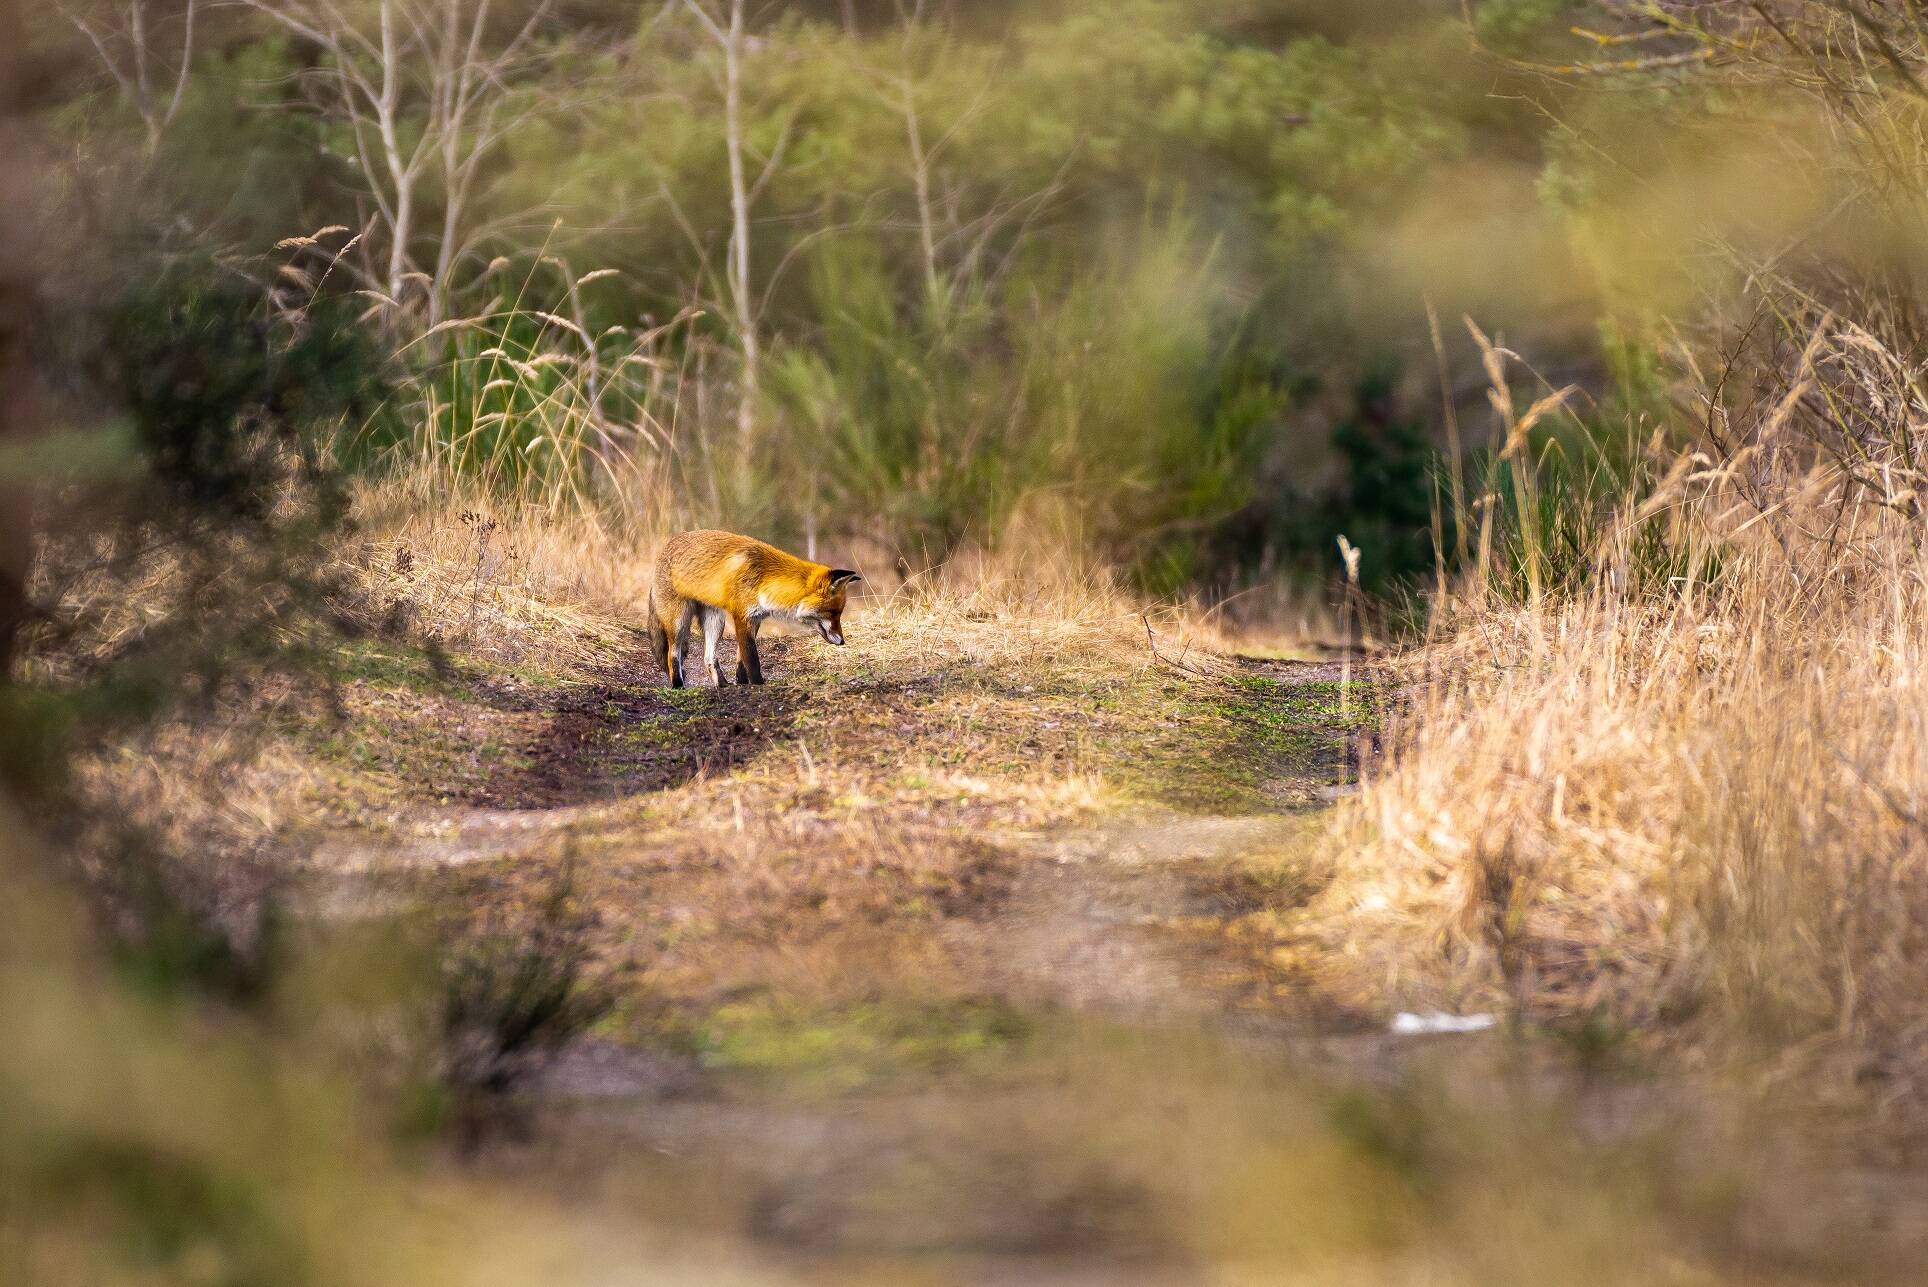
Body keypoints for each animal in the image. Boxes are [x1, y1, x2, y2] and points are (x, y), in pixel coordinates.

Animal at [647, 530, 861, 687]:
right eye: (834, 612)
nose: (842, 641)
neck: (764, 578)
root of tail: (664, 549)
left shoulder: (756, 618)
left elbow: (742, 659)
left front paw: (742, 682)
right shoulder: (742, 616)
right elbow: (752, 657)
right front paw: (758, 683)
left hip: (715, 621)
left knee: (708, 658)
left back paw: (723, 685)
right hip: (679, 621)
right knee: (672, 654)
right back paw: (677, 685)